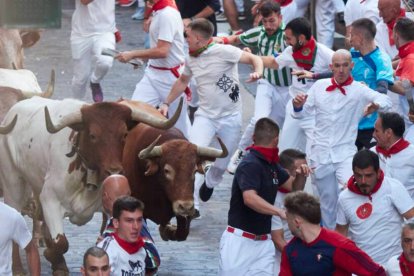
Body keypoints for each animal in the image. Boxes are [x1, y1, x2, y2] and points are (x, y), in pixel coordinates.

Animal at [0, 96, 181, 274]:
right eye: (93, 135)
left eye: (124, 134)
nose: (114, 171)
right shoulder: (50, 199)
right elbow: (61, 243)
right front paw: (52, 256)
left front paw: (58, 263)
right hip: (14, 186)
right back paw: (18, 268)